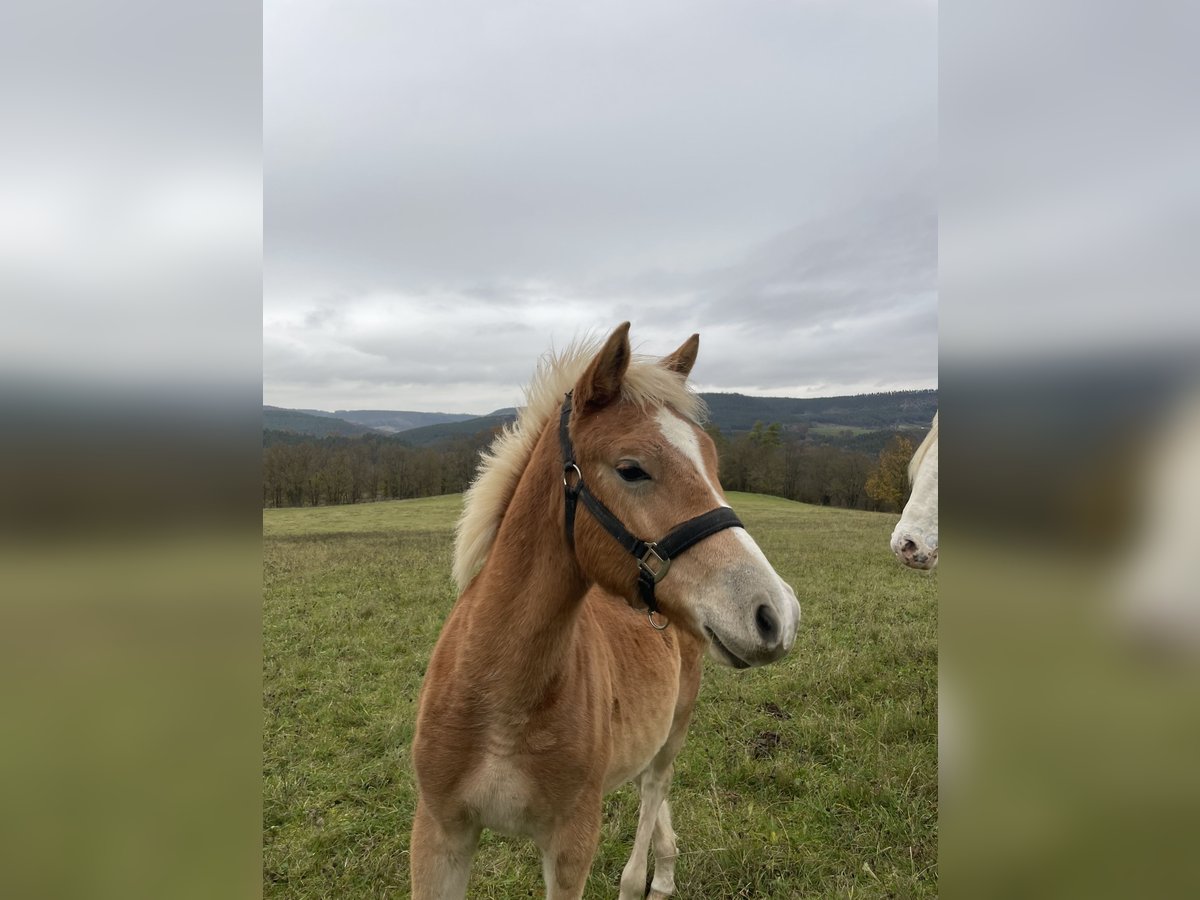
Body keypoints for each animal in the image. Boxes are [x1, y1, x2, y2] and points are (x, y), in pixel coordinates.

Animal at [410, 326, 796, 900]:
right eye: (631, 469)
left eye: (711, 461)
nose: (776, 612)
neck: (500, 697)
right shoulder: (439, 835)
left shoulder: (571, 845)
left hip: (676, 725)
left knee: (654, 787)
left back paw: (650, 879)